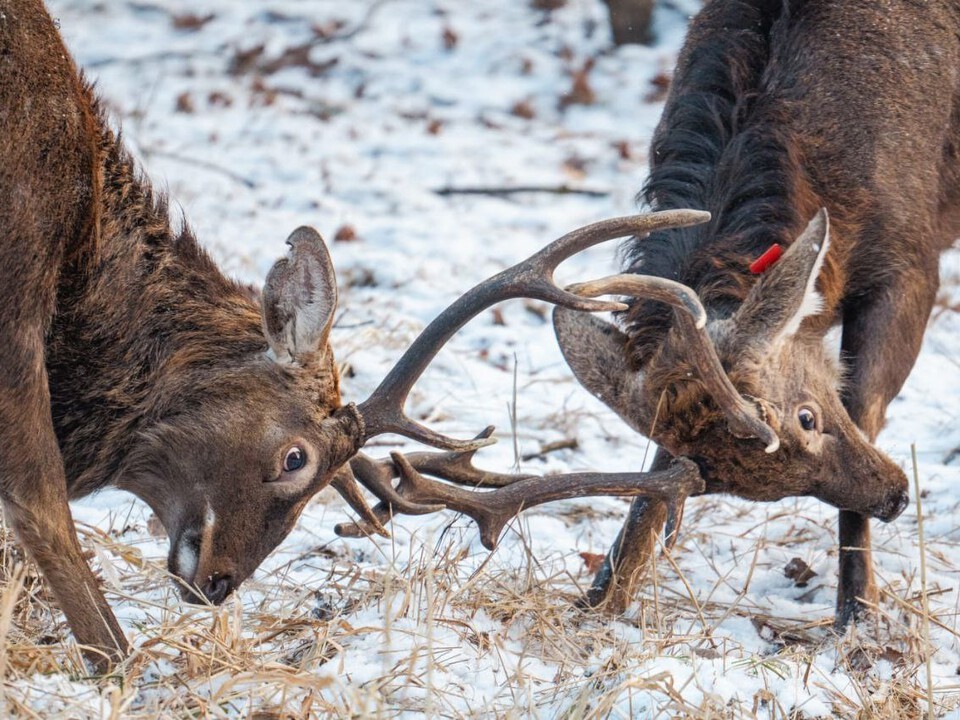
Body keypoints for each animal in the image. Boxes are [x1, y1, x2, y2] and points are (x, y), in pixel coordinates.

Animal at [548, 0, 960, 632]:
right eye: (710, 478)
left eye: (808, 417)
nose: (894, 496)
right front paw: (600, 599)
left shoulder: (913, 259)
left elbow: (864, 404)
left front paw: (860, 617)